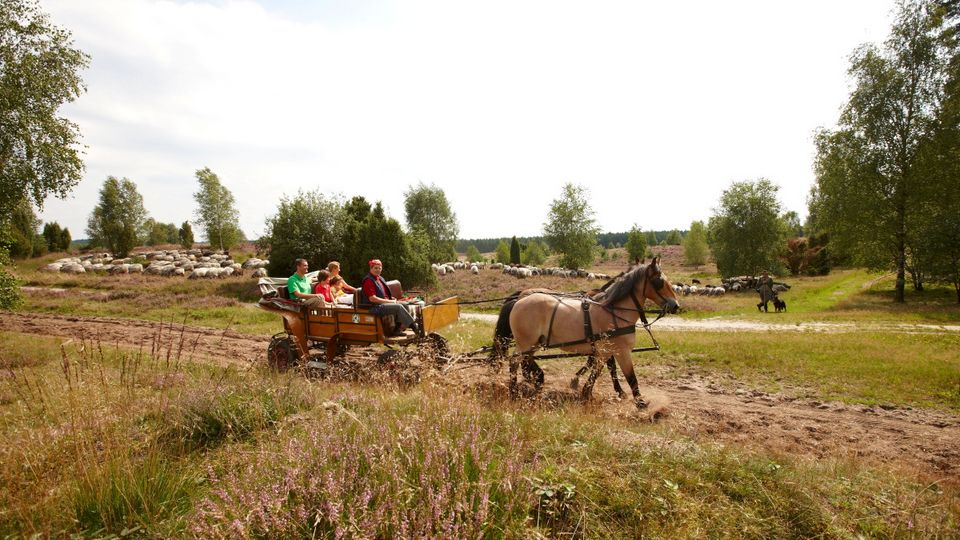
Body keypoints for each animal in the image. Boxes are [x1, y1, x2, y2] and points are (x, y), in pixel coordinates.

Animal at [498, 258, 680, 410]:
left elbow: (597, 372)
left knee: (524, 361)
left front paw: (585, 392)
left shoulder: (604, 352)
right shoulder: (621, 351)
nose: (676, 305)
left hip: (533, 343)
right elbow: (630, 377)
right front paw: (640, 402)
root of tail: (519, 300)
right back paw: (514, 391)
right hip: (525, 343)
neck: (614, 312)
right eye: (659, 281)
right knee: (514, 362)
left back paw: (536, 380)